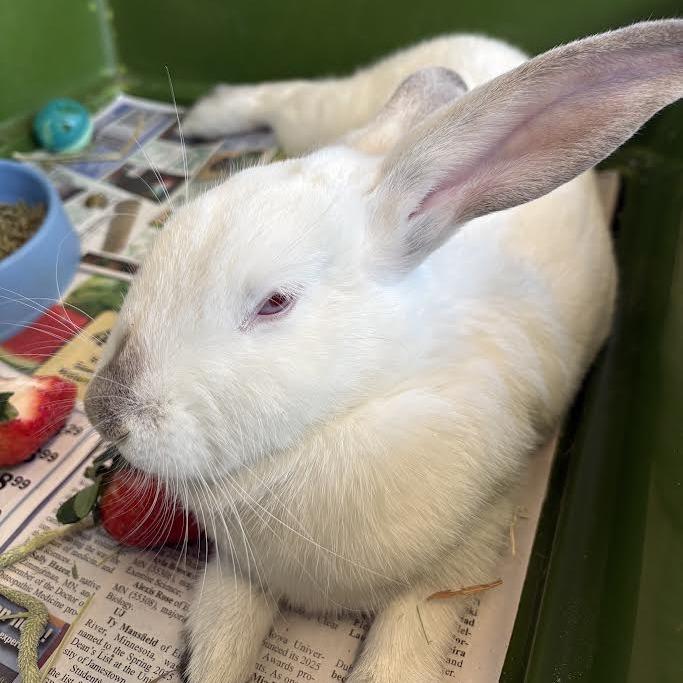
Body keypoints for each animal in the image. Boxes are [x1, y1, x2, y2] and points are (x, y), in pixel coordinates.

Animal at [84, 20, 683, 683]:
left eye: (275, 302)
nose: (102, 412)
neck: (352, 408)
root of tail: (498, 48)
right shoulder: (240, 567)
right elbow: (224, 632)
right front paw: (203, 666)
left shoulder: (462, 559)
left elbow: (398, 653)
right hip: (332, 113)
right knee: (284, 97)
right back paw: (207, 114)